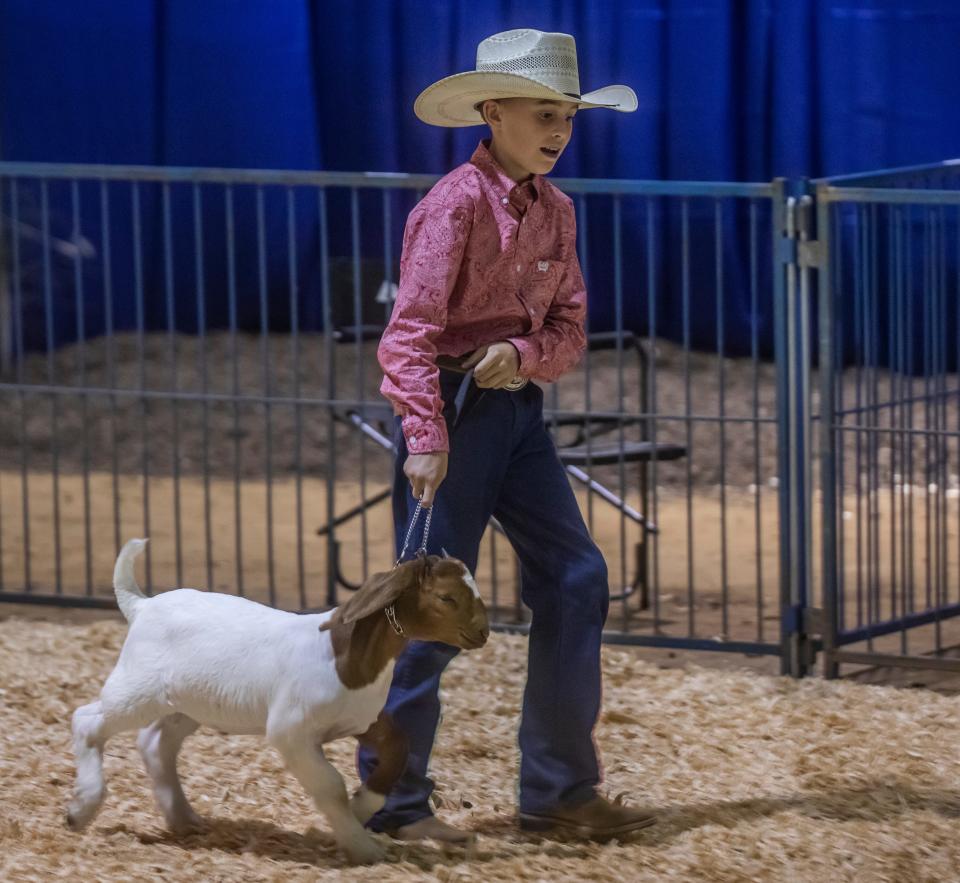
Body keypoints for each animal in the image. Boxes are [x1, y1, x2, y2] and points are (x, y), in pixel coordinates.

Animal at [65, 540, 488, 864]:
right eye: (446, 597)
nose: (482, 633)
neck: (344, 656)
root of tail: (142, 606)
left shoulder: (361, 720)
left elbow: (397, 751)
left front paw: (360, 808)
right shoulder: (291, 730)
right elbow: (330, 785)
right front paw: (361, 845)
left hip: (187, 703)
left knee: (155, 744)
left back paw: (183, 818)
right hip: (137, 689)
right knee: (88, 720)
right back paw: (81, 810)